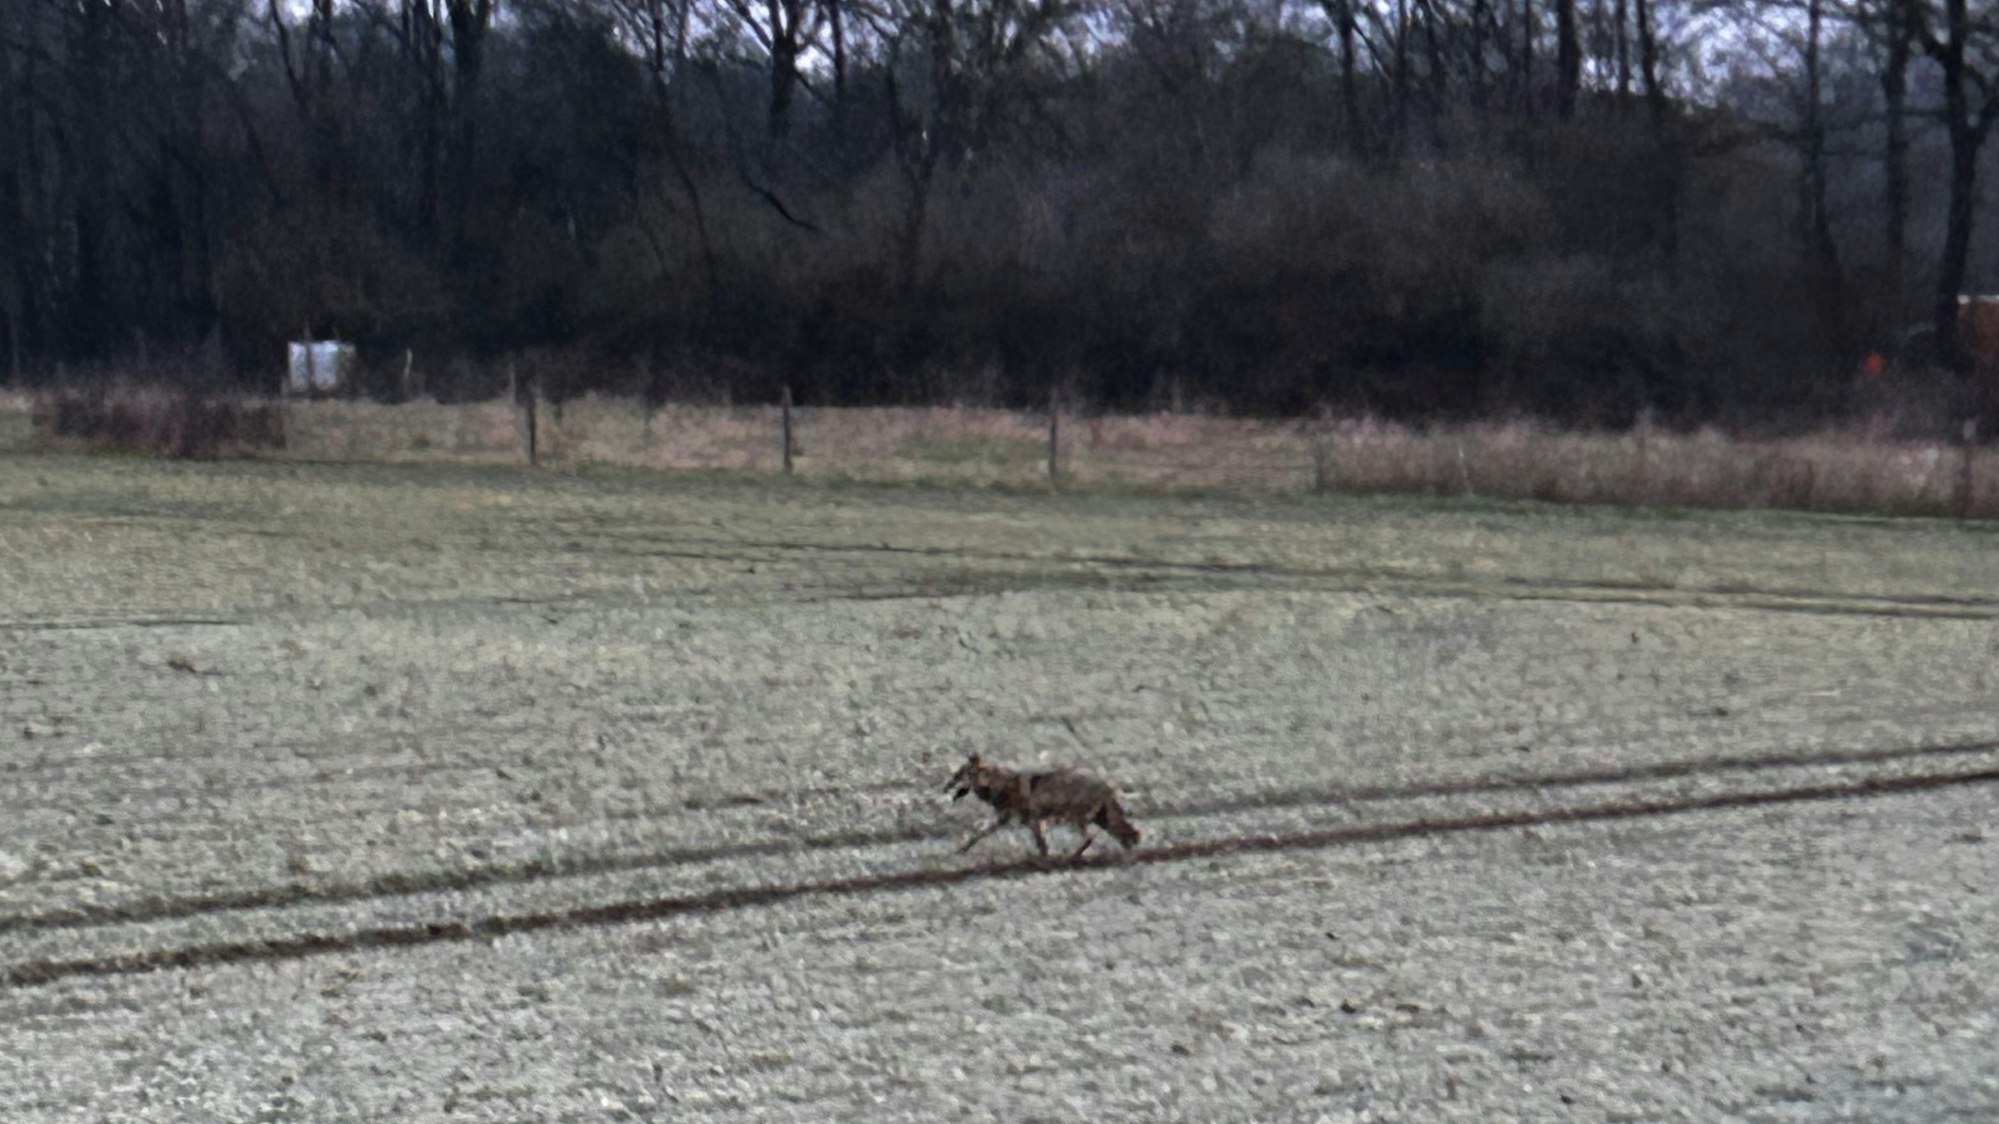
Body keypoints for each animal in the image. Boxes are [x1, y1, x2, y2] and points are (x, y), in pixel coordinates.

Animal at [944, 752, 1141, 858]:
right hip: (1099, 819)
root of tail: (1108, 786)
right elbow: (979, 835)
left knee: (1092, 837)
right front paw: (962, 850)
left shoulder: (1031, 821)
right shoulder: (1010, 819)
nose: (946, 787)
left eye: (960, 774)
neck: (997, 785)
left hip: (1080, 819)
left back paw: (1073, 856)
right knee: (1124, 834)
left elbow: (1042, 846)